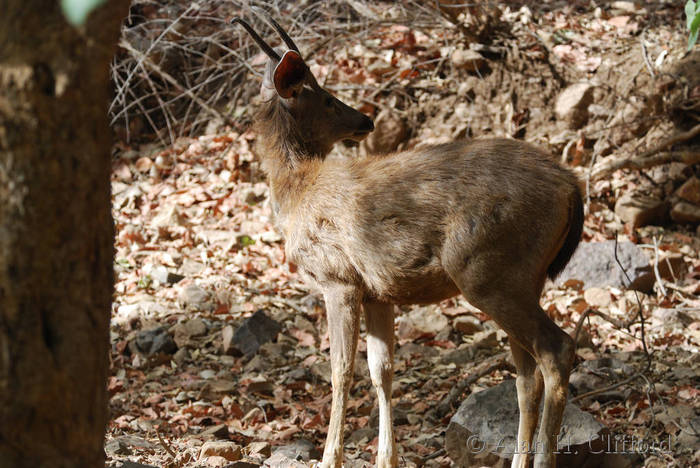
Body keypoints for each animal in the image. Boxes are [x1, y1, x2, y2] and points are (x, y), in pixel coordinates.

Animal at [232, 13, 584, 468]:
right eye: (326, 99)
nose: (364, 119)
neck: (296, 192)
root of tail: (572, 187)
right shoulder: (377, 292)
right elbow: (382, 370)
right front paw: (387, 458)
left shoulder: (337, 278)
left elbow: (341, 370)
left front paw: (331, 458)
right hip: (523, 278)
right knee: (527, 374)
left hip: (489, 271)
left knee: (556, 351)